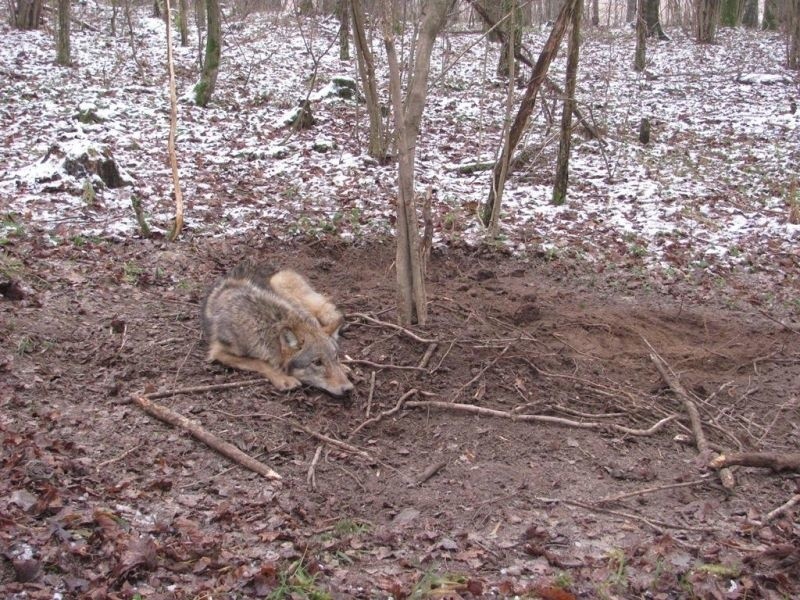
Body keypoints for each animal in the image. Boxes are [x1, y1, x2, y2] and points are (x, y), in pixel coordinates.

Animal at [202, 260, 352, 396]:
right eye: (317, 362)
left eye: (335, 357)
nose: (348, 388)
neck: (259, 324)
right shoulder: (218, 352)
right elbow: (260, 362)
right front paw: (283, 378)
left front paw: (341, 366)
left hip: (282, 286)